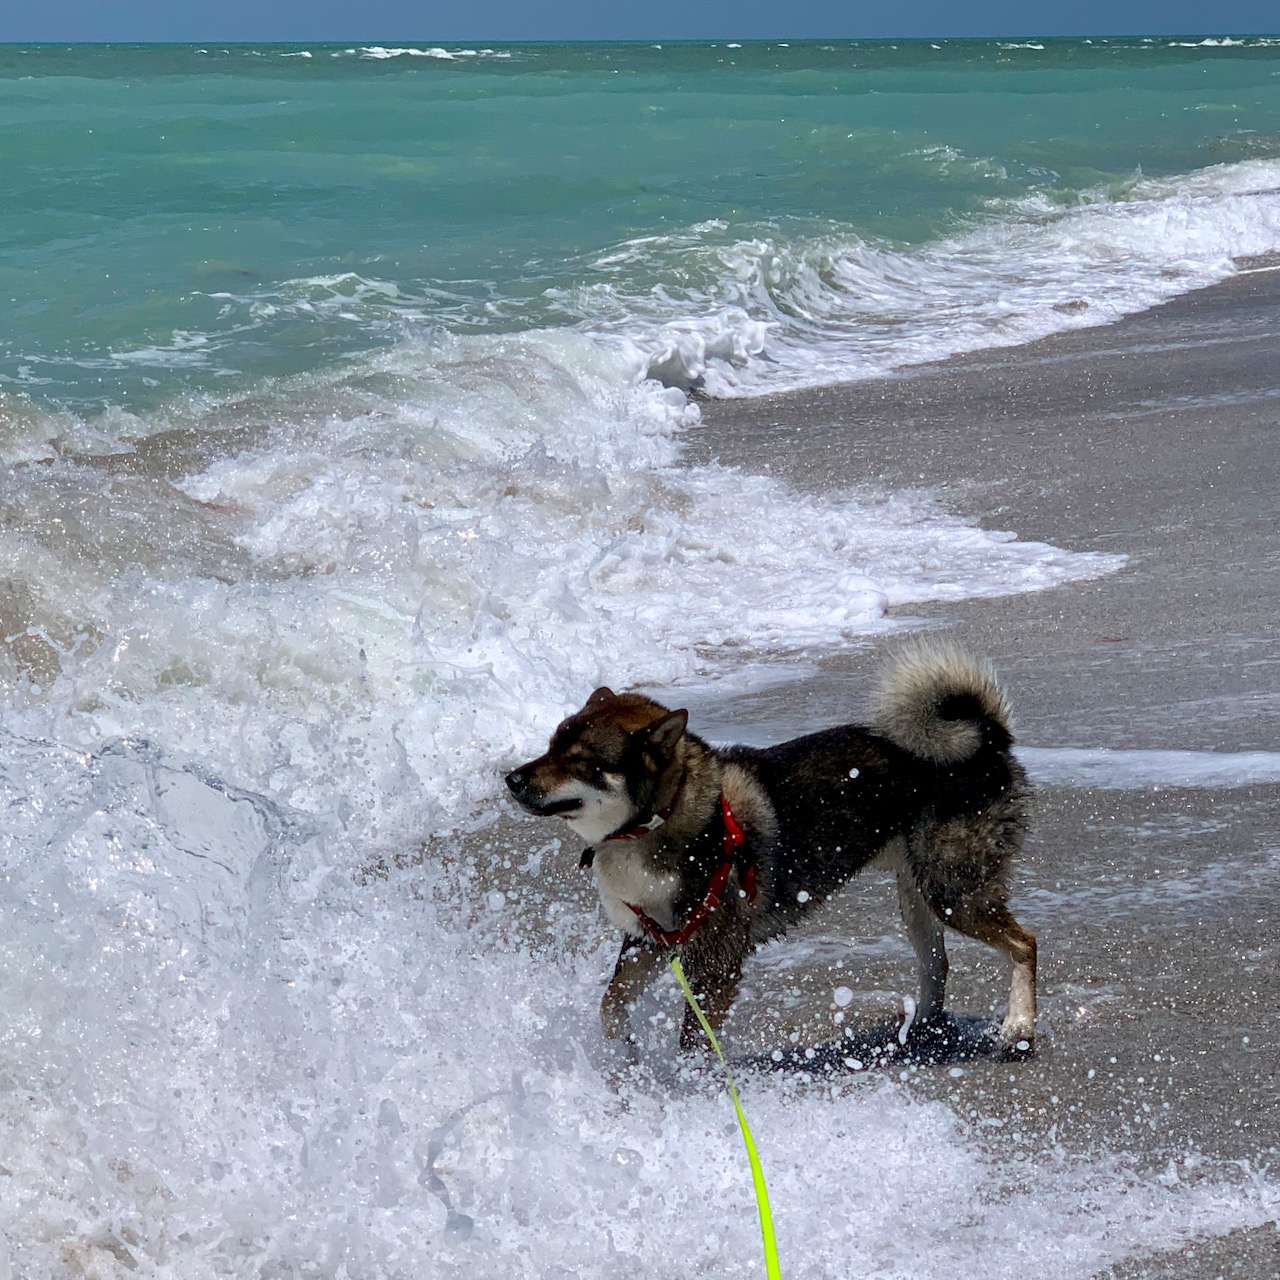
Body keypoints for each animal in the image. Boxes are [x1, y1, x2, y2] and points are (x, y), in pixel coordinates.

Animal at [504, 645, 1034, 1054]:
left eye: (580, 762)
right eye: (550, 746)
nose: (511, 780)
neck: (657, 820)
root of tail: (989, 741)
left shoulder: (713, 963)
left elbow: (694, 1043)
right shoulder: (650, 941)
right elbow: (610, 1005)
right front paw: (624, 1057)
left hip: (952, 891)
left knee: (1024, 944)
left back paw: (1019, 1027)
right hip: (919, 893)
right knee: (936, 963)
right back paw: (920, 1030)